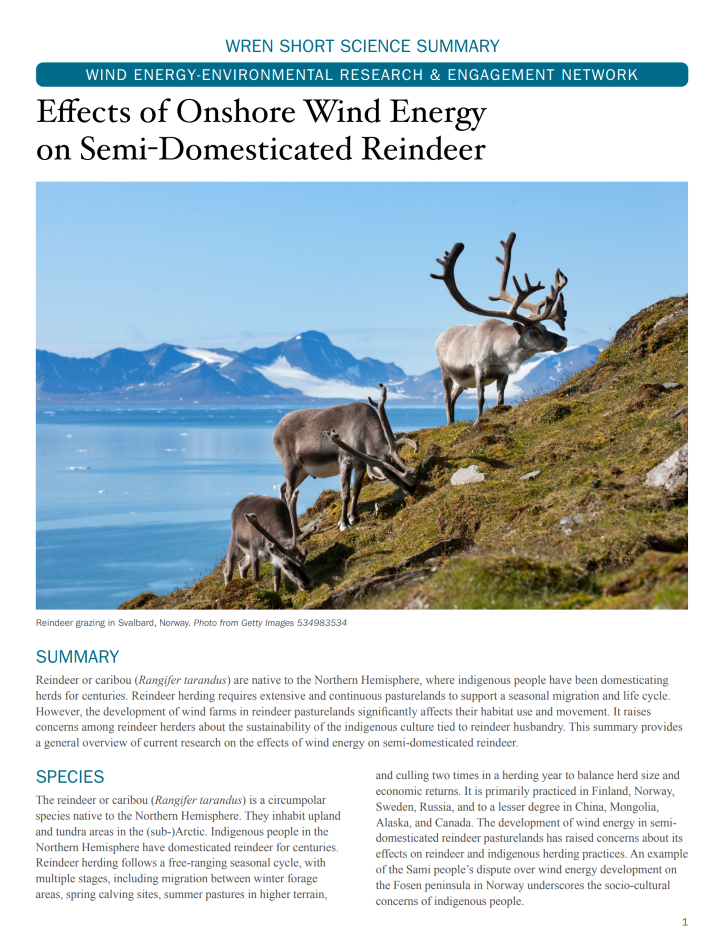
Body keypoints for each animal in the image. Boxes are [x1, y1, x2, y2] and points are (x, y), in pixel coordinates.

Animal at [273, 384, 418, 532]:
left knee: (283, 488)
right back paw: (296, 531)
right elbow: (345, 494)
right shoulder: (345, 460)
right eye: (387, 474)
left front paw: (353, 516)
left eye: (402, 461)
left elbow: (357, 490)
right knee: (289, 495)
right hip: (291, 466)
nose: (412, 488)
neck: (363, 434)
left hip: (303, 471)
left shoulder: (361, 464)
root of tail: (275, 431)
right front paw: (343, 523)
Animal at [431, 232, 569, 425]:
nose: (563, 340)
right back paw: (450, 423)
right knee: (446, 397)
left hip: (461, 382)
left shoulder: (503, 374)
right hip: (446, 372)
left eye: (544, 326)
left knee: (452, 397)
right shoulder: (479, 368)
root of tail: (440, 336)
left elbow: (500, 400)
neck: (501, 351)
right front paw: (478, 422)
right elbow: (480, 399)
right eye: (534, 332)